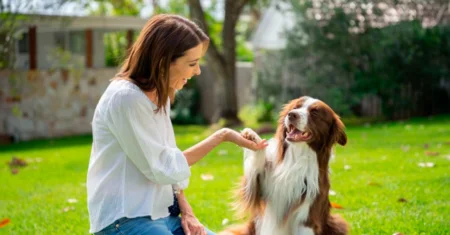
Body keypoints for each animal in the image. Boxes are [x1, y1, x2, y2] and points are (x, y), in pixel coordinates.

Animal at [220, 96, 350, 235]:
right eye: (295, 107)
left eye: (315, 113)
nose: (292, 115)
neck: (295, 157)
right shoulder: (258, 187)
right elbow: (257, 164)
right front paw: (253, 137)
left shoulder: (308, 214)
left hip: (337, 223)